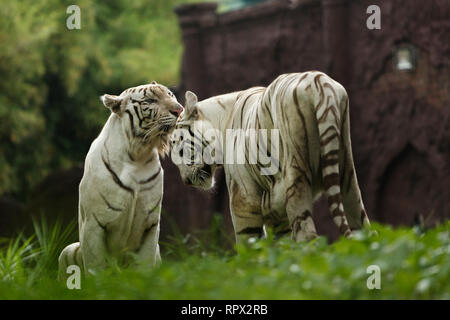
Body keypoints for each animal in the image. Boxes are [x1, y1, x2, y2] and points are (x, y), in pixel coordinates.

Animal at [58, 80, 183, 280]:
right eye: (150, 100)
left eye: (171, 95)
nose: (179, 110)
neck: (138, 155)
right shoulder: (93, 224)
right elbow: (96, 266)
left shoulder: (151, 226)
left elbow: (145, 265)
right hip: (67, 251)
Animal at [171, 71, 370, 244]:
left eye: (177, 148)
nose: (186, 181)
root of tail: (319, 83)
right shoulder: (275, 212)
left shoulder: (243, 198)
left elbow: (248, 243)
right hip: (346, 174)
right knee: (363, 226)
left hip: (295, 177)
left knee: (307, 235)